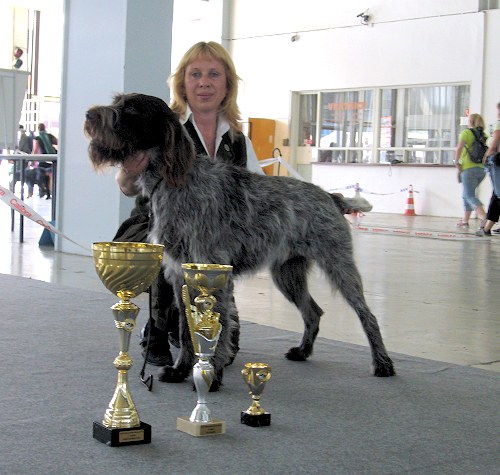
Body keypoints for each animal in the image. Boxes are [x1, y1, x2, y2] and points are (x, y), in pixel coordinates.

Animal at [85, 93, 394, 390]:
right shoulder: (179, 275)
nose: (89, 115)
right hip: (288, 274)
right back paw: (303, 351)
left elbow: (216, 330)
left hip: (338, 266)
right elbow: (186, 330)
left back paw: (382, 363)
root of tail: (330, 196)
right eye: (117, 103)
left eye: (131, 109)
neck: (175, 182)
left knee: (368, 316)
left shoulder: (212, 275)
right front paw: (181, 370)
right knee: (314, 312)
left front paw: (212, 376)